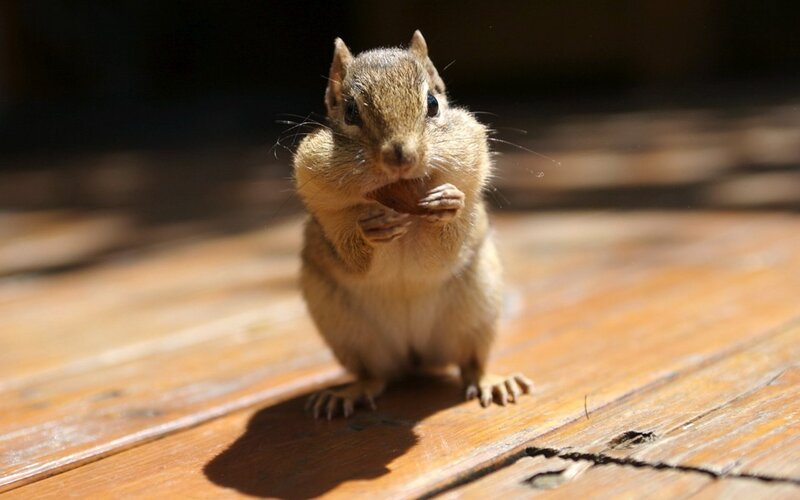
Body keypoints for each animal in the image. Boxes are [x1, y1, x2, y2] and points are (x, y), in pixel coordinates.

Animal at [294, 30, 532, 419]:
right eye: (350, 111)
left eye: (433, 103)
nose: (400, 156)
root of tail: (415, 356)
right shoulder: (323, 208)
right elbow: (352, 255)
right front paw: (368, 230)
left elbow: (442, 254)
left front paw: (449, 202)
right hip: (351, 334)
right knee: (375, 375)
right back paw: (348, 392)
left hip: (476, 312)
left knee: (470, 363)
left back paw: (492, 380)